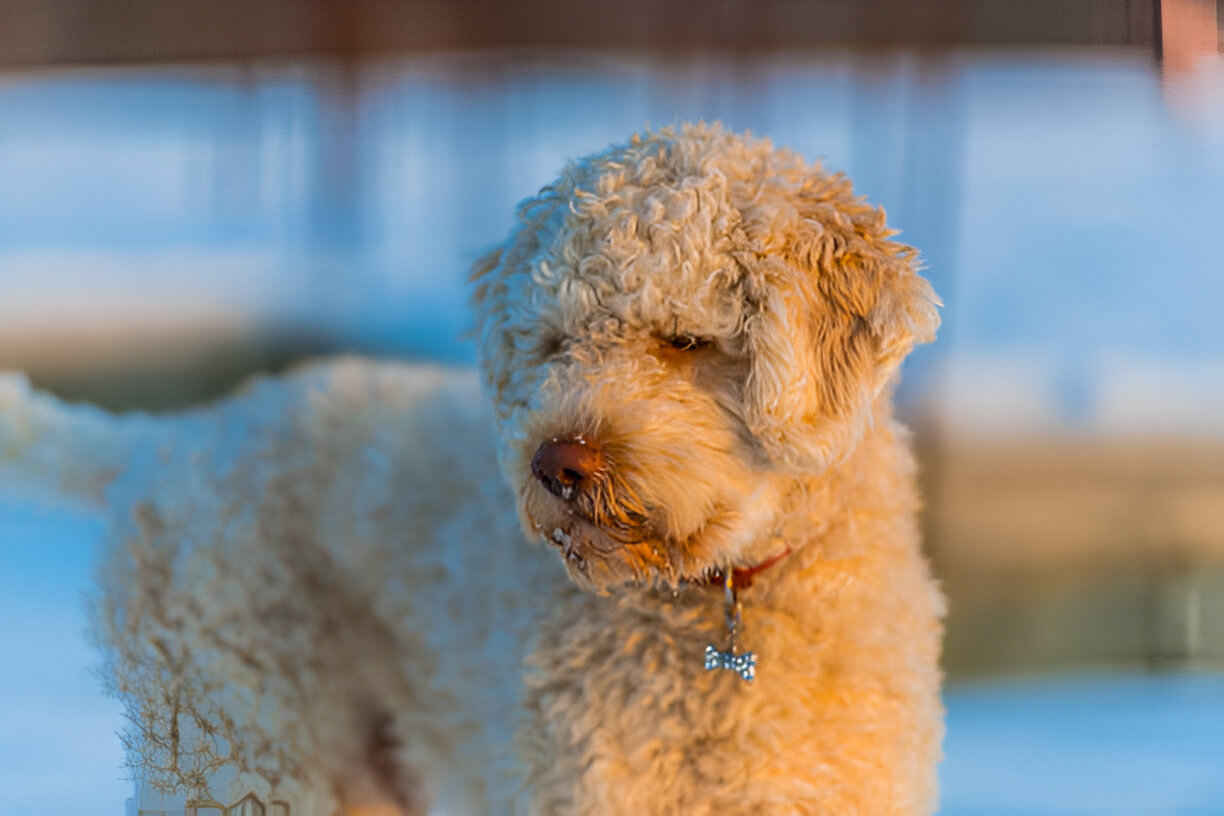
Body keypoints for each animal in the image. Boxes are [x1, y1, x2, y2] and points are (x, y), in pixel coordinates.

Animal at [0, 122, 944, 816]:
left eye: (687, 340)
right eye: (556, 341)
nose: (558, 465)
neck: (721, 610)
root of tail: (175, 438)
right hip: (234, 733)